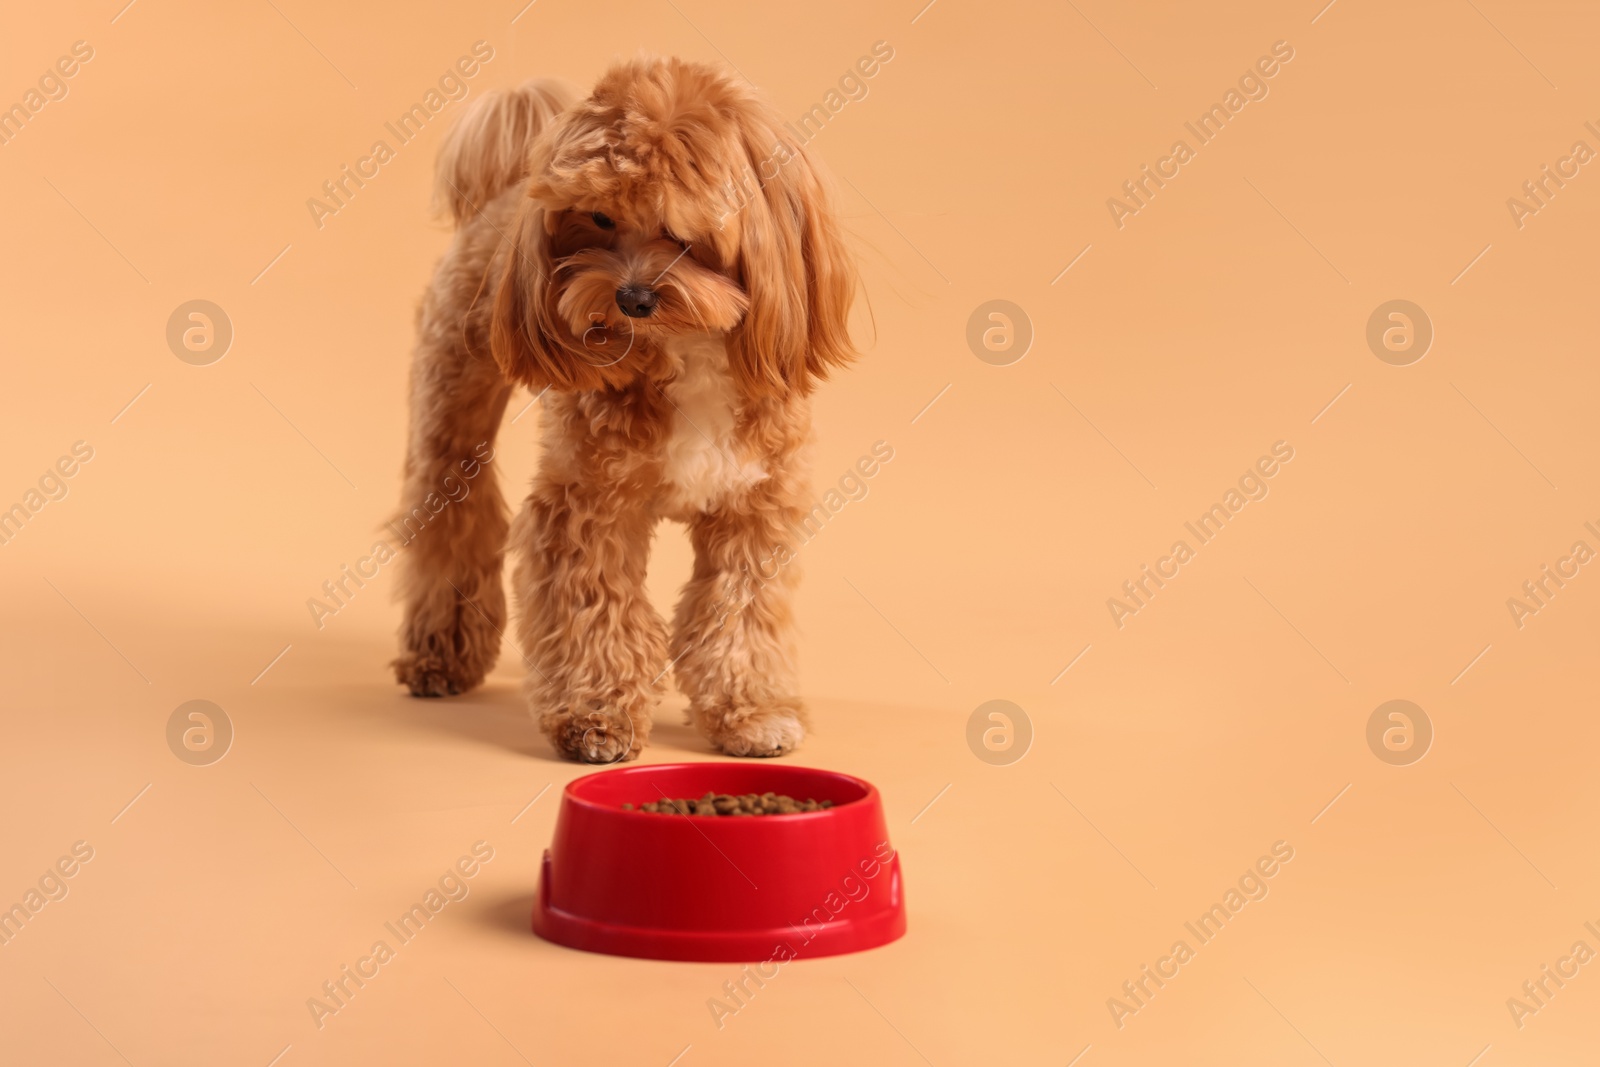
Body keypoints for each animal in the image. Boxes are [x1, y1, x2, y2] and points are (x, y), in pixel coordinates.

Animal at [392, 58, 857, 764]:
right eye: (599, 218)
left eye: (683, 230)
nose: (633, 297)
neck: (686, 349)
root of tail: (504, 191)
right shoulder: (588, 506)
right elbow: (596, 610)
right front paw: (596, 718)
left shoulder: (754, 510)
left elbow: (738, 614)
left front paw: (752, 713)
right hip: (452, 408)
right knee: (452, 522)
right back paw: (439, 655)